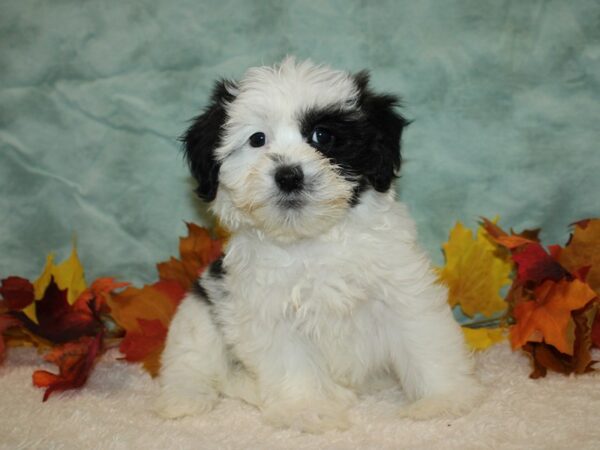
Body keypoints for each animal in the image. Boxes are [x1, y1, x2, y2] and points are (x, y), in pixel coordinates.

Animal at [156, 57, 482, 432]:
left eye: (323, 136)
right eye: (257, 139)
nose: (288, 175)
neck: (313, 239)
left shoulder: (401, 286)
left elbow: (424, 340)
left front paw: (444, 399)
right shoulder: (267, 308)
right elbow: (291, 363)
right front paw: (306, 410)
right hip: (200, 305)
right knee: (191, 359)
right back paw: (183, 399)